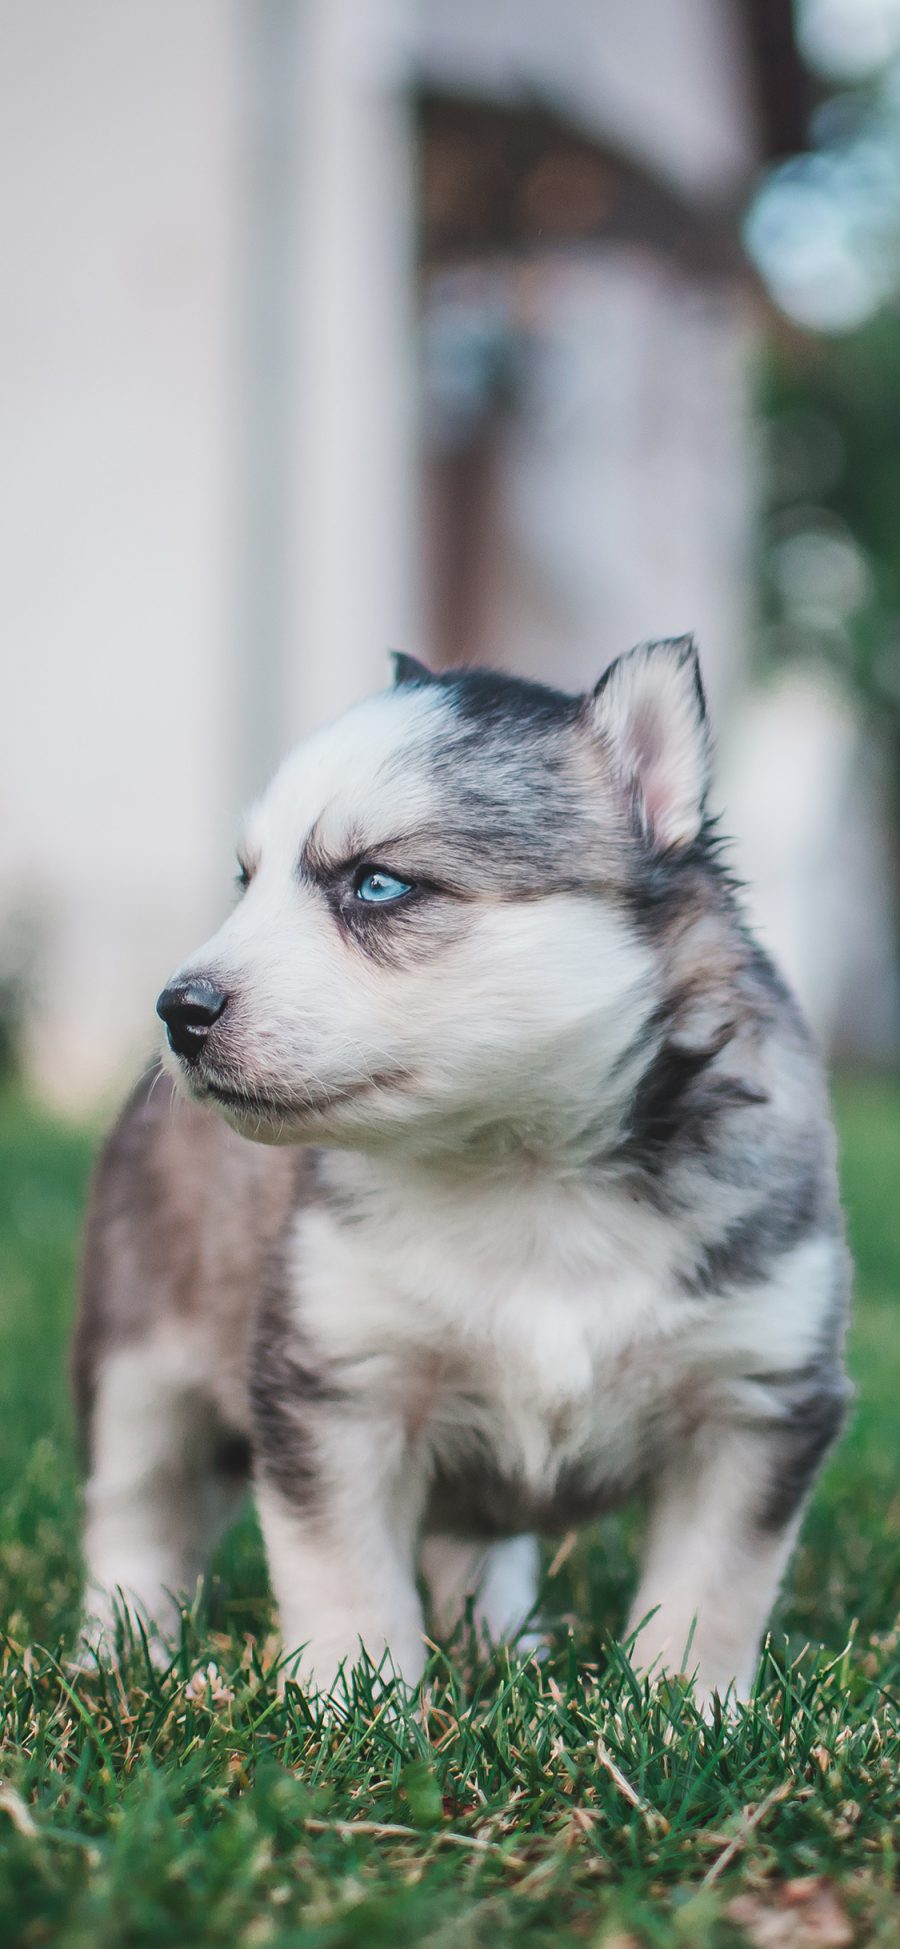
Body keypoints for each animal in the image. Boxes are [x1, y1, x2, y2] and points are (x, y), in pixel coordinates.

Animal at [72, 643, 849, 1707]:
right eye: (245, 878)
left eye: (378, 884)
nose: (177, 1008)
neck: (528, 1174)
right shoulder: (337, 1380)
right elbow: (346, 1577)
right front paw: (352, 1707)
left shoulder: (758, 1396)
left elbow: (712, 1591)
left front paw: (685, 1708)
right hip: (138, 1369)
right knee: (137, 1514)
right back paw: (118, 1649)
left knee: (474, 1542)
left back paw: (506, 1645)